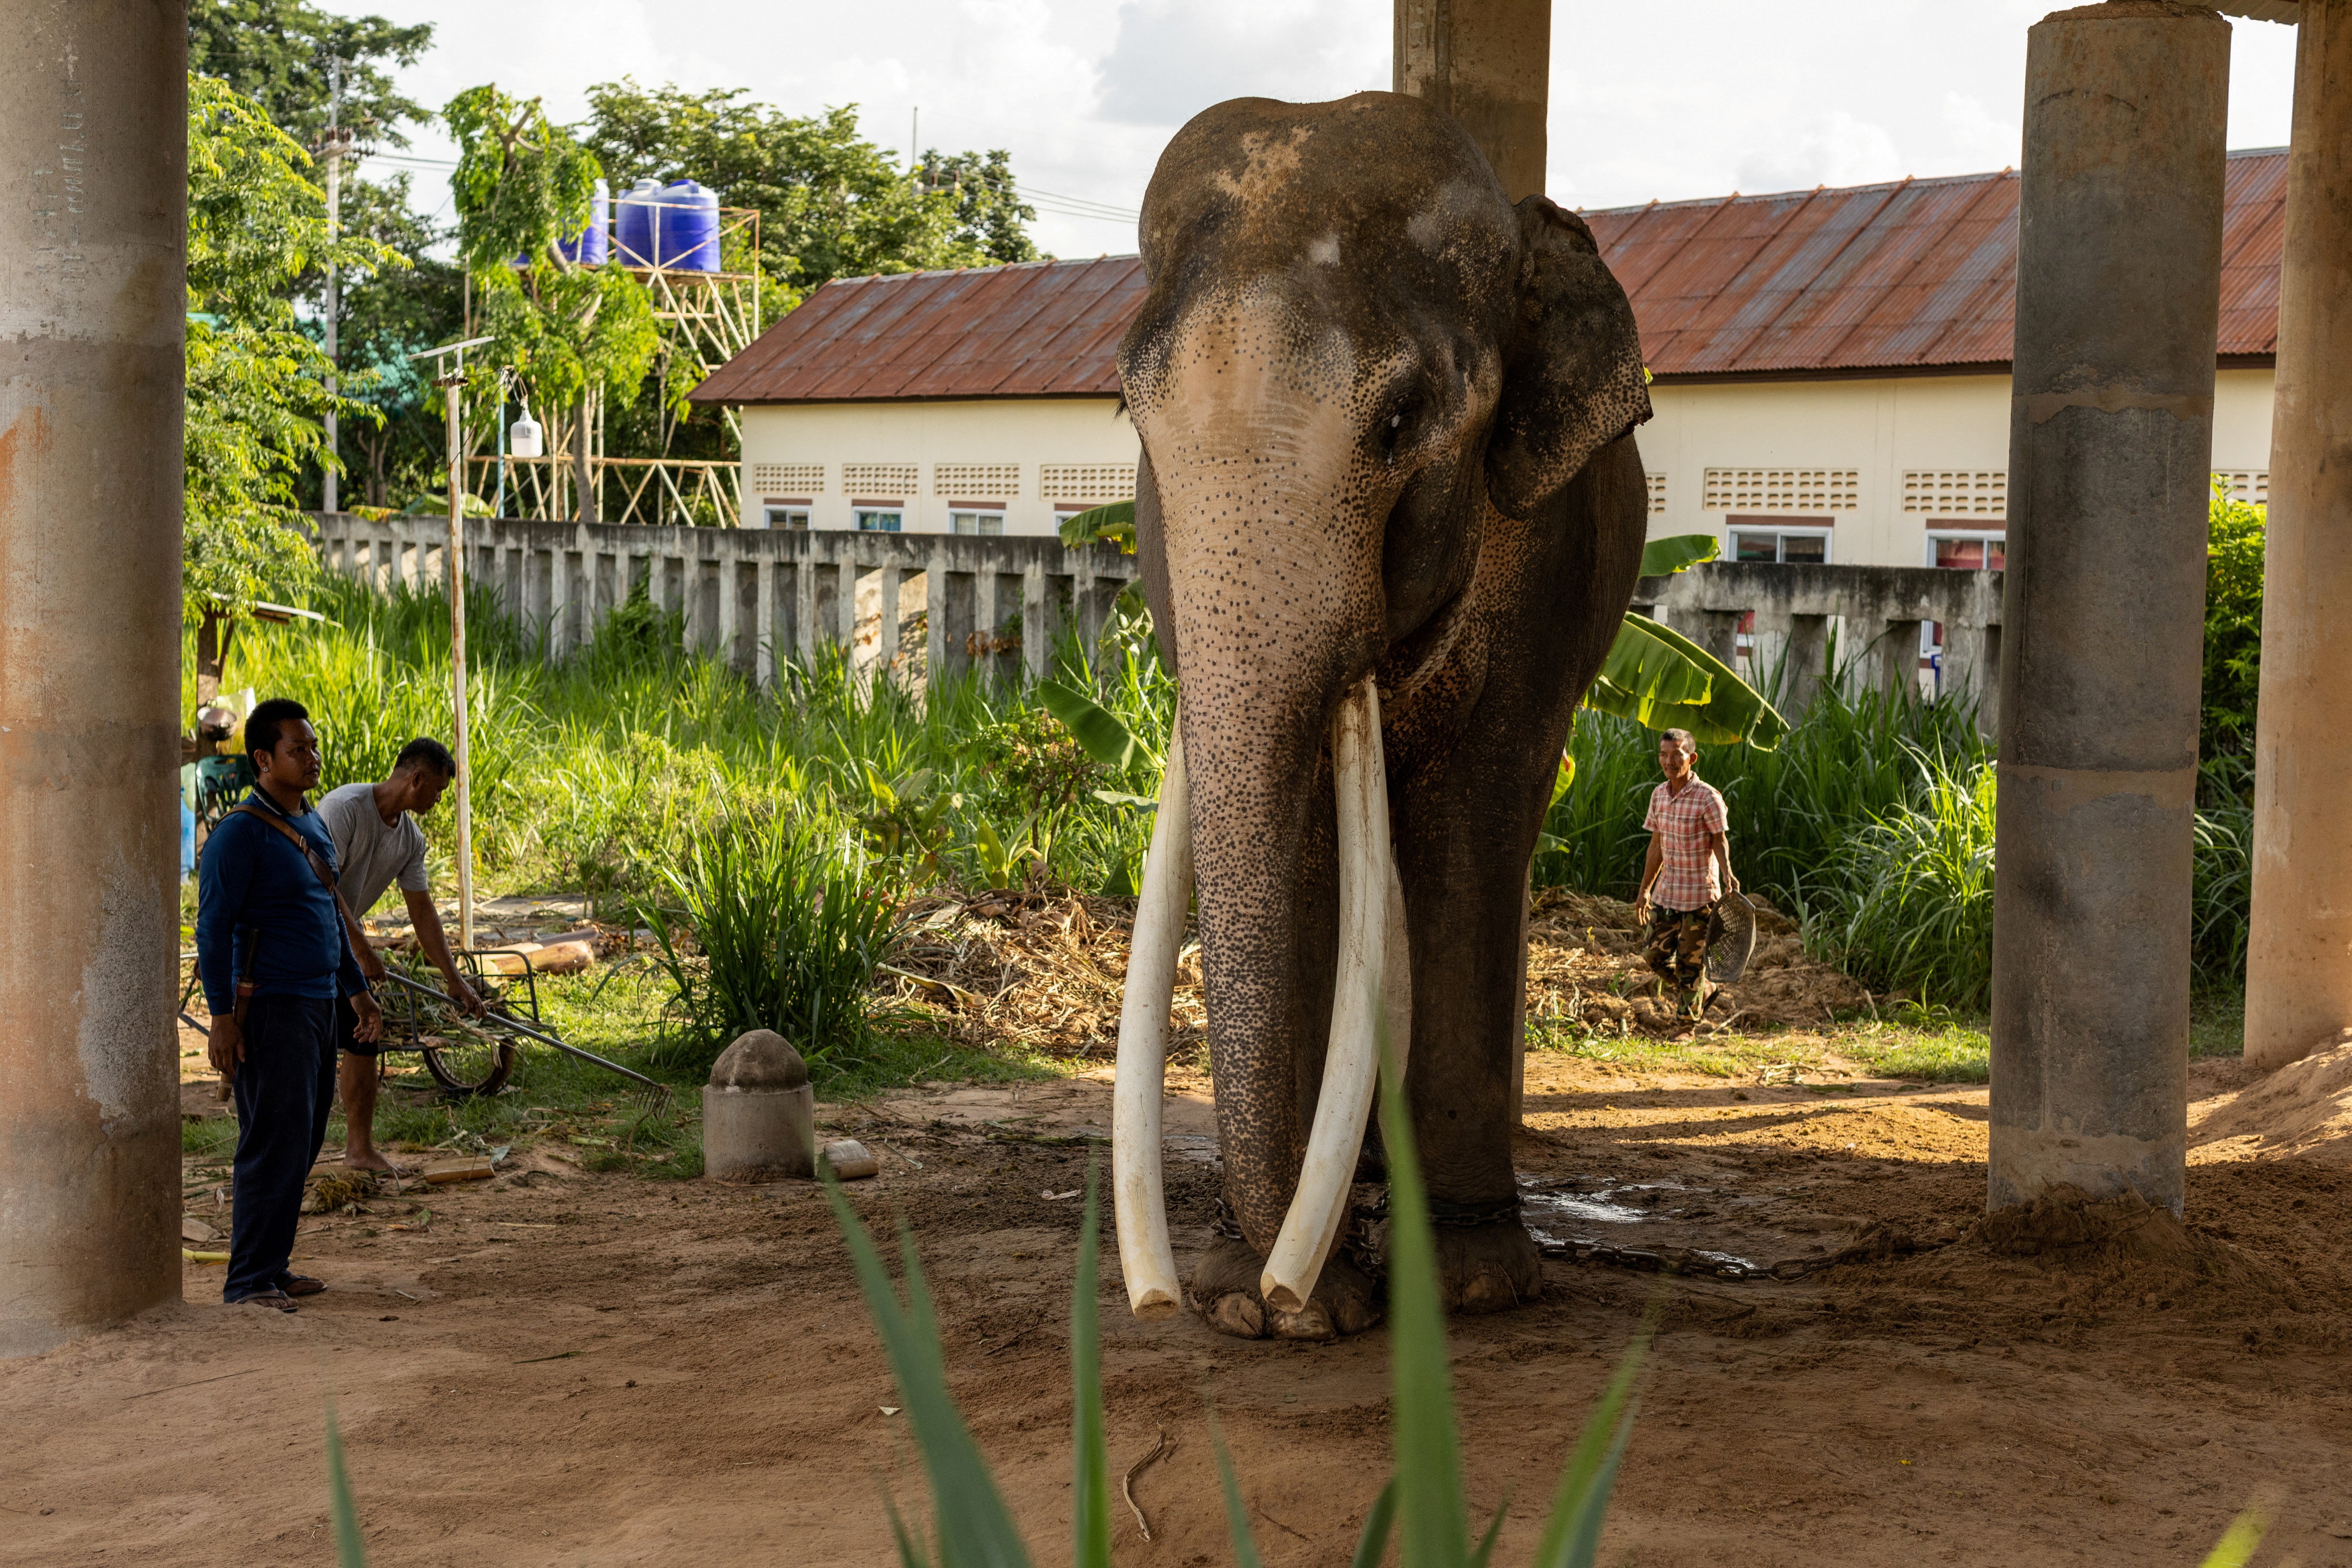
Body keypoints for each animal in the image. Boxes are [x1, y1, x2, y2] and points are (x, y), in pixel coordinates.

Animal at [1105, 85, 1646, 1345]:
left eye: (1400, 422)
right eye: (1130, 416)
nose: (1271, 1299)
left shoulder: (1538, 567)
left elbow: (1473, 817)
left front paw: (1465, 1286)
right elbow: (1302, 846)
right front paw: (1267, 1304)